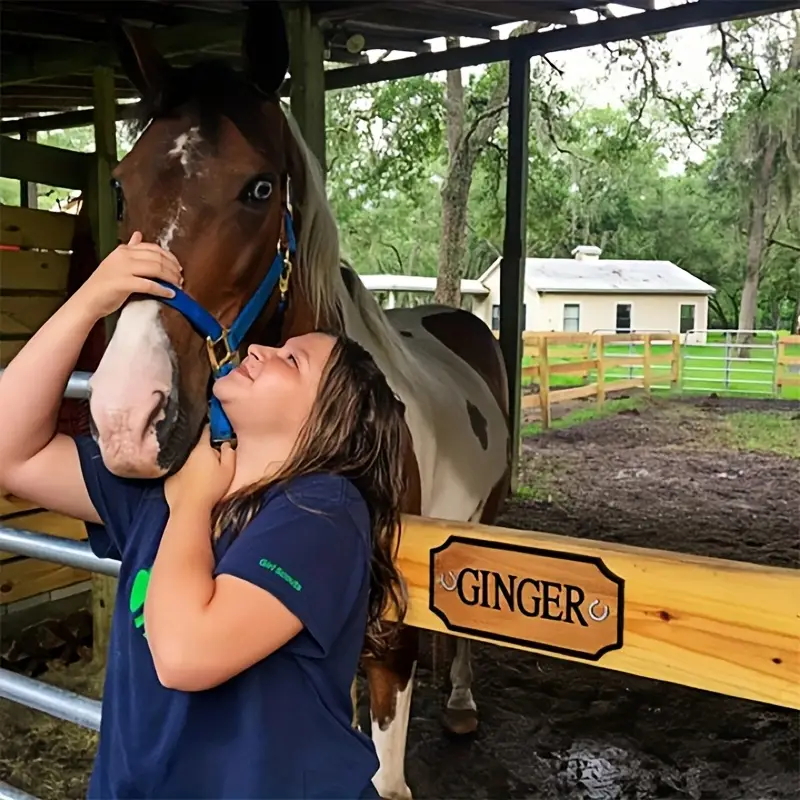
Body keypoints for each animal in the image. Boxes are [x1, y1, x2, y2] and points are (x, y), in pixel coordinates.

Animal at [87, 6, 511, 799]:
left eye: (258, 189)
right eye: (122, 186)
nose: (128, 418)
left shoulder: (390, 643)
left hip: (487, 521)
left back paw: (464, 703)